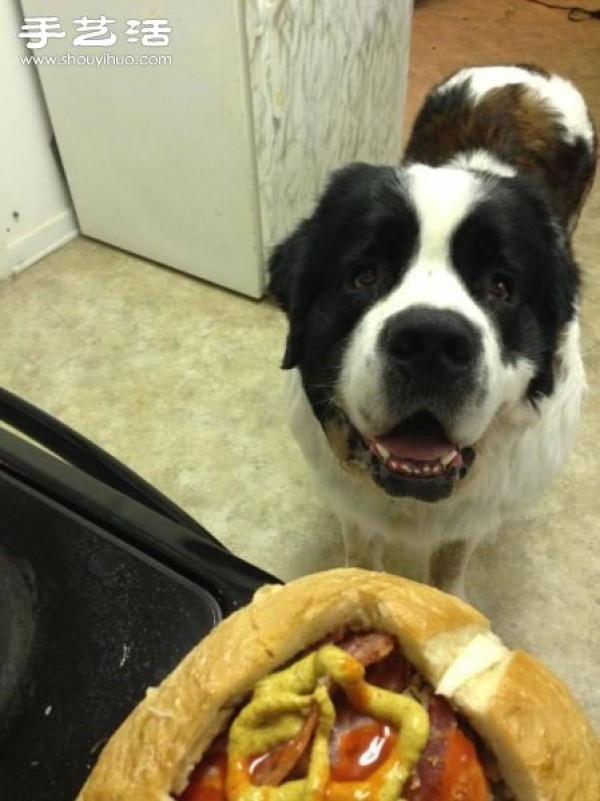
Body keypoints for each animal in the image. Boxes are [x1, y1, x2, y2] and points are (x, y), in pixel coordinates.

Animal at [270, 65, 596, 596]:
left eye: (500, 286)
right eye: (365, 275)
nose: (431, 343)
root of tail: (524, 72)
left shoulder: (469, 514)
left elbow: (450, 561)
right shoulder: (353, 503)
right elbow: (361, 554)